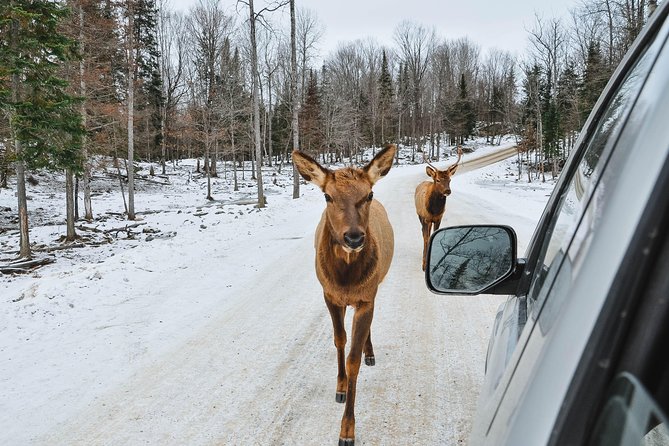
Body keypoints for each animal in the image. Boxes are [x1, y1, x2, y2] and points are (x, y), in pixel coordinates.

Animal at [292, 145, 396, 446]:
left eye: (368, 194)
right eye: (328, 195)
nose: (354, 237)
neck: (346, 281)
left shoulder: (365, 298)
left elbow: (353, 359)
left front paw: (347, 430)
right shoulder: (329, 295)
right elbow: (339, 340)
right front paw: (339, 388)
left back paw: (370, 352)